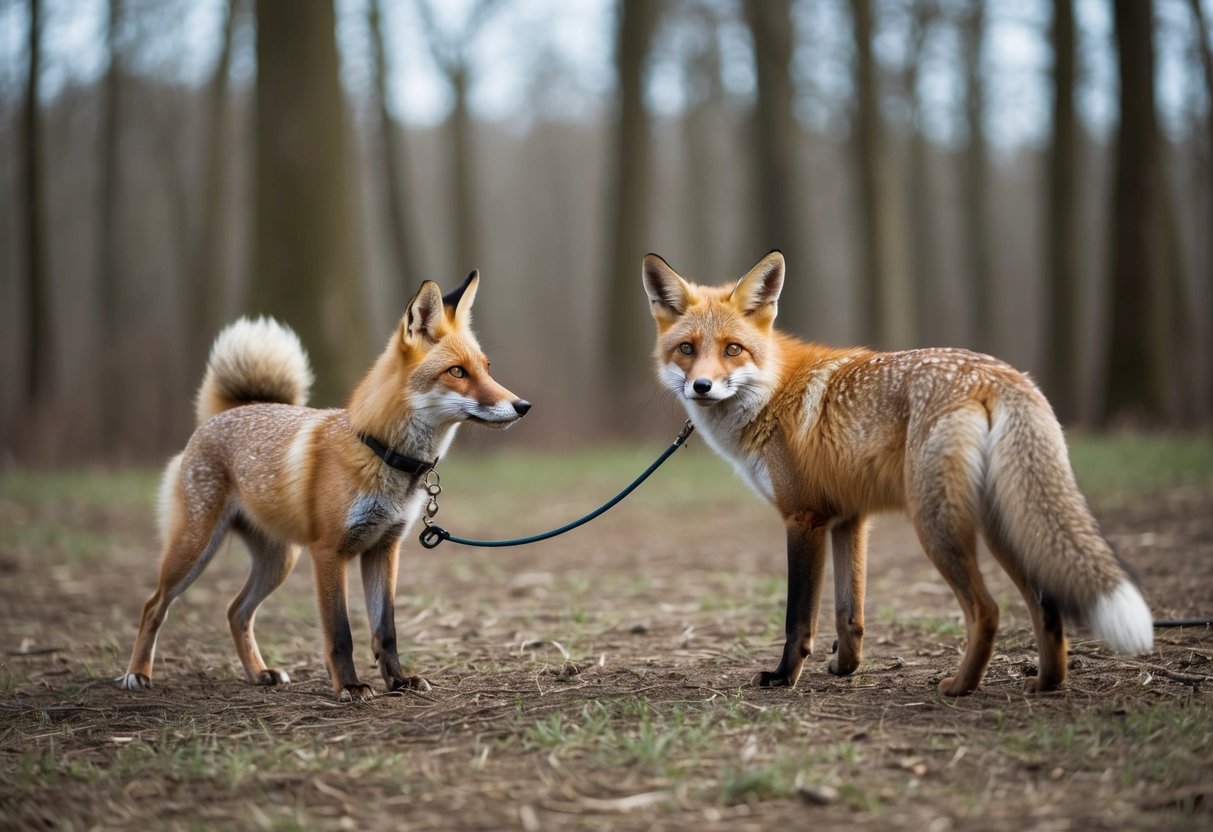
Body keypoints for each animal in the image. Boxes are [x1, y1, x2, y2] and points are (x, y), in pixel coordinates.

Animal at [119, 272, 530, 701]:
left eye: (487, 368)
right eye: (457, 372)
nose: (523, 406)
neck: (382, 452)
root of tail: (235, 410)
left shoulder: (384, 549)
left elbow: (386, 631)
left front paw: (399, 682)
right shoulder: (329, 552)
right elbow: (340, 633)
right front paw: (349, 686)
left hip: (278, 561)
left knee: (236, 611)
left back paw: (259, 672)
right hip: (195, 548)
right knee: (153, 606)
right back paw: (137, 674)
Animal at [643, 250, 1153, 696]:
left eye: (733, 349)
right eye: (687, 349)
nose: (702, 386)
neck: (771, 392)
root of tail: (1000, 375)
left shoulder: (803, 519)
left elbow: (798, 619)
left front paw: (784, 677)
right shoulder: (848, 518)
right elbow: (849, 614)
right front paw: (845, 668)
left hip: (935, 525)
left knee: (987, 611)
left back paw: (959, 687)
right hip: (1003, 524)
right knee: (1046, 605)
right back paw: (1046, 684)